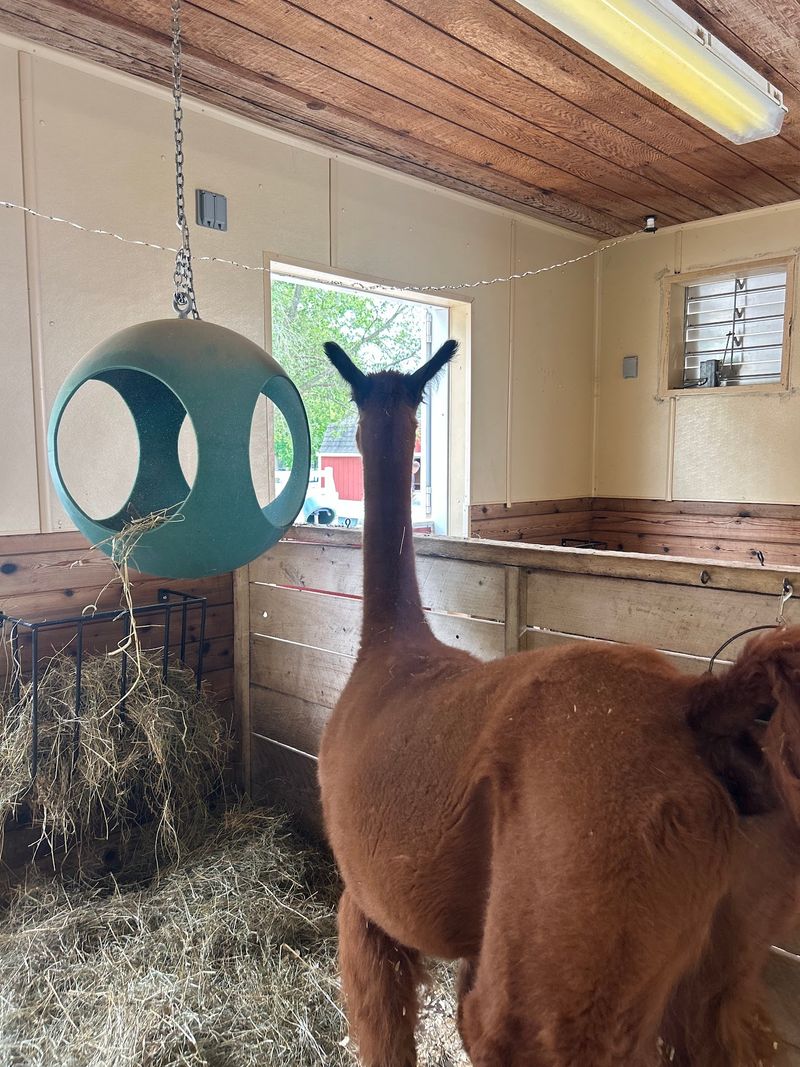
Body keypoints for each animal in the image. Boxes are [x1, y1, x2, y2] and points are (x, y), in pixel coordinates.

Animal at [317, 339, 800, 1066]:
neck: (388, 650)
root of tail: (696, 705)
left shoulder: (366, 910)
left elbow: (384, 1034)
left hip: (562, 950)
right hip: (717, 971)